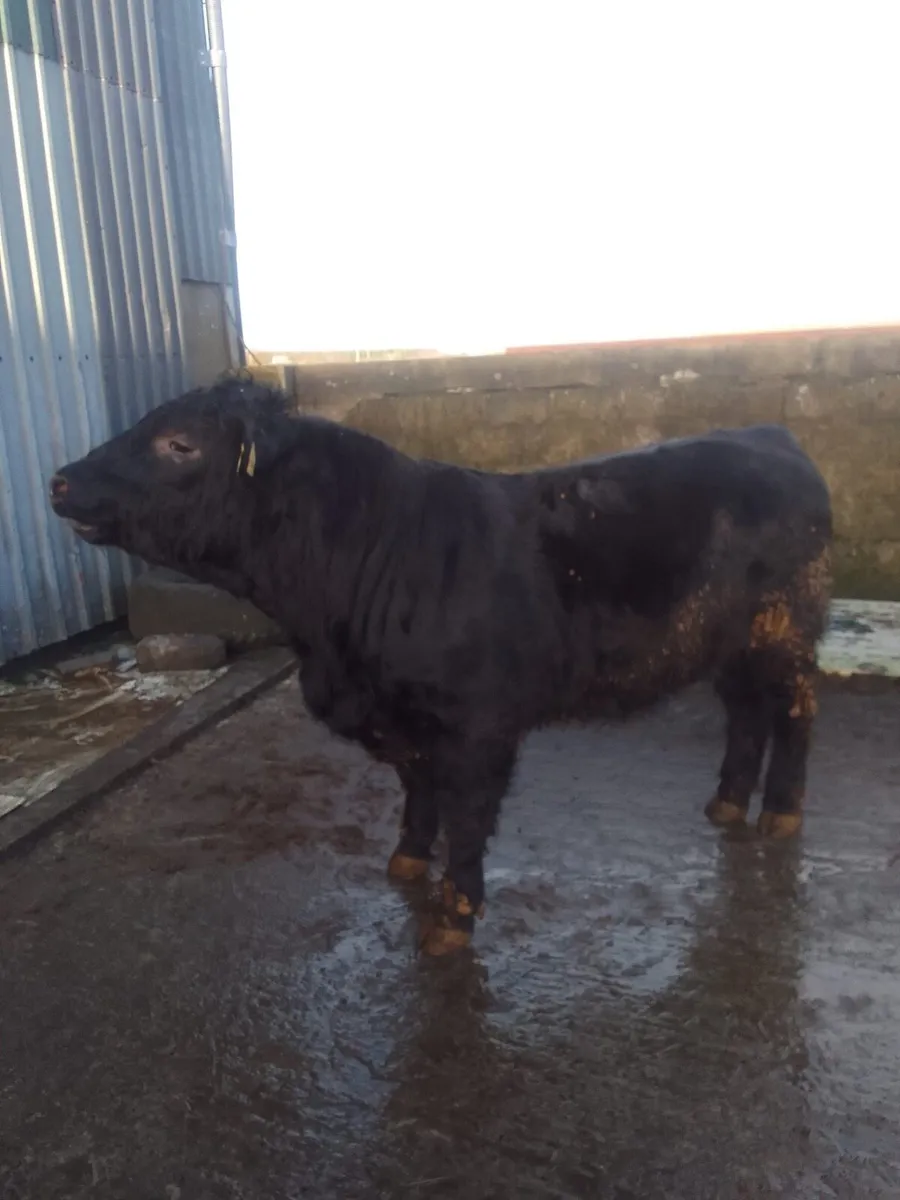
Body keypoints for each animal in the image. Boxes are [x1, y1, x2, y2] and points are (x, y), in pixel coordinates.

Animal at [50, 380, 832, 954]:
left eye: (178, 443)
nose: (59, 480)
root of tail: (769, 434)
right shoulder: (408, 720)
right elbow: (418, 794)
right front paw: (405, 862)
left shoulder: (477, 727)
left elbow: (467, 815)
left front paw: (453, 918)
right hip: (729, 642)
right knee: (746, 713)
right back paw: (728, 801)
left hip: (786, 632)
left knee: (795, 713)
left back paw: (782, 813)